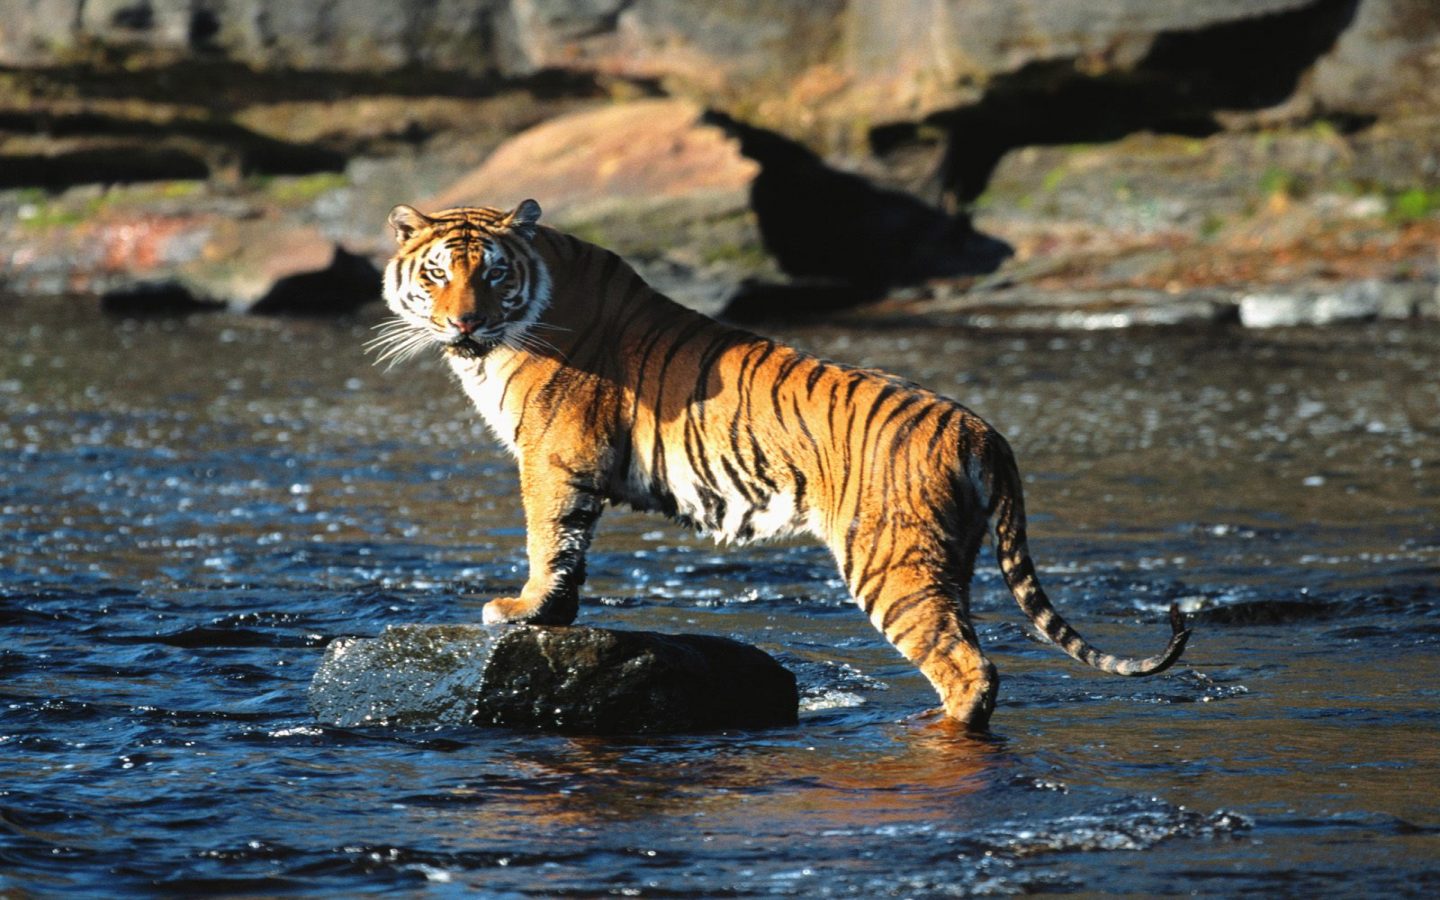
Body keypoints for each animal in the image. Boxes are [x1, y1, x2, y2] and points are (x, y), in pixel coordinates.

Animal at [372, 199, 1190, 730]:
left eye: (492, 276)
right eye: (439, 273)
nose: (465, 322)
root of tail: (979, 425)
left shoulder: (554, 453)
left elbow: (551, 539)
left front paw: (523, 610)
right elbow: (571, 548)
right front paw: (554, 613)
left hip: (891, 562)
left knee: (969, 669)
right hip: (945, 560)